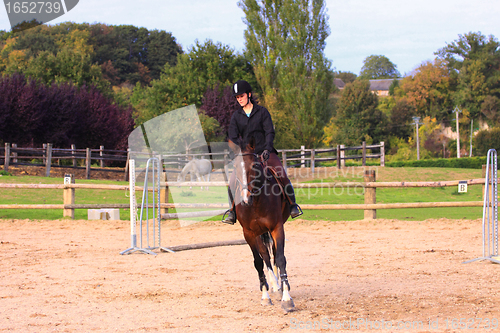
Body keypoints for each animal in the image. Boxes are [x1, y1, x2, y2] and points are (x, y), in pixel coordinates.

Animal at [229, 137, 294, 312]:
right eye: (235, 167)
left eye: (255, 166)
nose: (246, 200)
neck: (256, 202)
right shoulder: (249, 233)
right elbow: (258, 262)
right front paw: (265, 296)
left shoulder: (277, 227)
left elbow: (280, 258)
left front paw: (286, 298)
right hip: (258, 233)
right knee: (265, 255)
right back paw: (273, 286)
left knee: (274, 254)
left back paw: (278, 287)